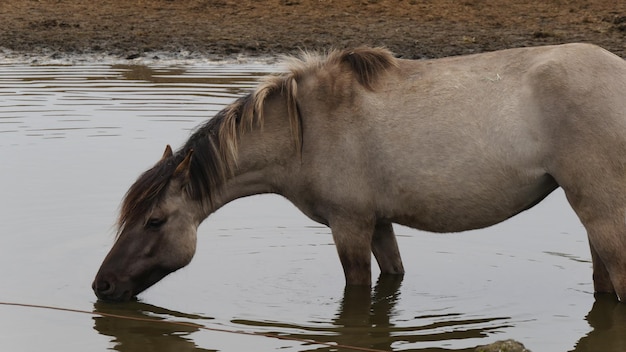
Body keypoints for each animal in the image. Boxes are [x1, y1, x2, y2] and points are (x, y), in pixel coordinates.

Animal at [91, 43, 624, 302]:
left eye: (155, 221)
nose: (102, 286)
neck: (305, 129)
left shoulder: (349, 227)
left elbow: (356, 292)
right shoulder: (379, 223)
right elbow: (393, 279)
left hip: (603, 213)